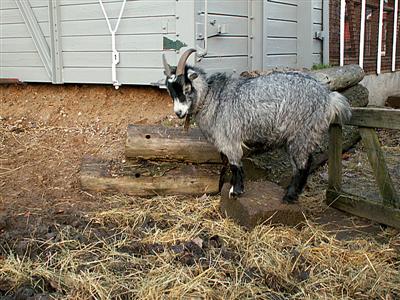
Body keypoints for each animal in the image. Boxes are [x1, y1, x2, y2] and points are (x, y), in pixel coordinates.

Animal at [162, 49, 350, 203]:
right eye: (170, 91)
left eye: (186, 88)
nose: (178, 113)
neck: (211, 97)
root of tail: (329, 98)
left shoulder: (229, 140)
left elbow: (235, 165)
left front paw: (236, 191)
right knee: (300, 164)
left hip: (303, 132)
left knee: (304, 164)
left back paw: (289, 196)